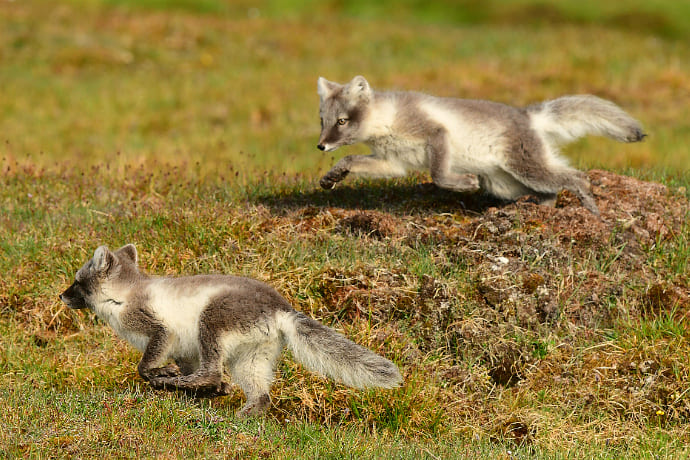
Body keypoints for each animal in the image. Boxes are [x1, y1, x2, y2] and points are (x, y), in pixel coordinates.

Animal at [59, 244, 402, 416]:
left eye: (77, 281)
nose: (61, 296)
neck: (124, 295)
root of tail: (281, 307)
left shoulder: (159, 329)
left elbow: (144, 365)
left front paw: (164, 376)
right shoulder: (184, 351)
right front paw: (192, 392)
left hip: (211, 322)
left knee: (212, 370)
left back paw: (184, 385)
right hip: (252, 356)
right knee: (260, 394)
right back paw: (241, 415)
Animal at [316, 75, 646, 215]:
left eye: (342, 122)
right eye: (323, 120)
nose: (320, 147)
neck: (388, 120)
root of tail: (528, 114)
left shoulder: (437, 133)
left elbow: (438, 174)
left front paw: (463, 184)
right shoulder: (392, 162)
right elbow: (351, 160)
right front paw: (332, 176)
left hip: (526, 167)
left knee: (575, 177)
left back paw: (592, 213)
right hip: (505, 183)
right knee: (551, 190)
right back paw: (540, 215)